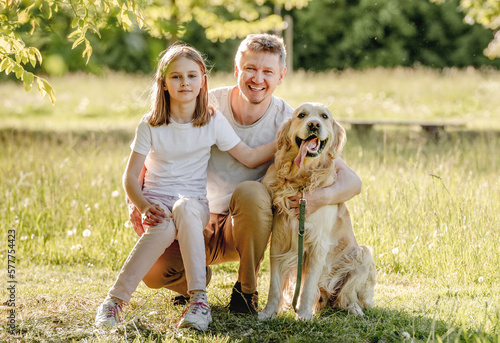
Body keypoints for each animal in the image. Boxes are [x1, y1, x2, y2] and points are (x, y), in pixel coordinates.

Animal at [258, 103, 376, 322]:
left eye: (324, 116)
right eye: (301, 115)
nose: (314, 124)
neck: (301, 180)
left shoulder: (317, 244)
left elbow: (308, 286)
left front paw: (304, 314)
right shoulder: (279, 239)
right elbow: (274, 285)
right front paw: (268, 312)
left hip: (362, 255)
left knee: (346, 297)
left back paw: (354, 308)